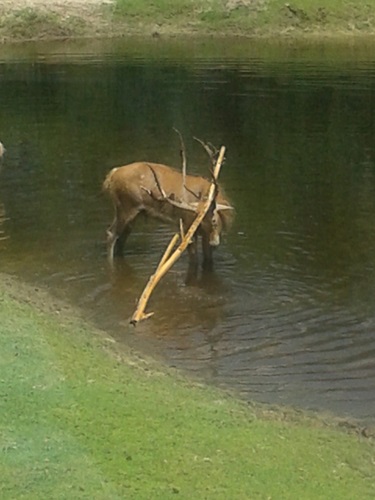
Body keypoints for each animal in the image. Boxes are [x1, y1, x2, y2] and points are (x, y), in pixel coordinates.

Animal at [103, 161, 232, 272]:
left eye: (214, 220)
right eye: (200, 222)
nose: (214, 243)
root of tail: (112, 174)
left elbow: (208, 259)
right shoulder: (187, 227)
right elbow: (193, 259)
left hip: (133, 213)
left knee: (121, 239)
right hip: (126, 208)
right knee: (111, 233)